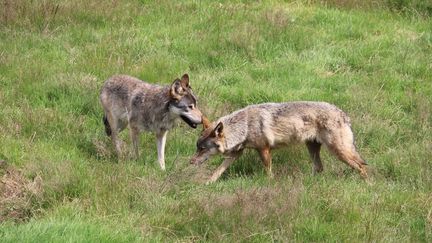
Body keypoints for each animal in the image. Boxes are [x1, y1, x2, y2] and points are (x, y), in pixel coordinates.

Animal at [192, 101, 368, 183]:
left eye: (202, 149)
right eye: (197, 147)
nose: (191, 161)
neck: (245, 126)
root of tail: (344, 115)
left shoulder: (264, 150)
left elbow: (268, 171)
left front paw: (270, 183)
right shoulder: (236, 154)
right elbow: (218, 170)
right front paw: (208, 183)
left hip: (338, 151)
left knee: (362, 166)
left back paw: (367, 185)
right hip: (313, 149)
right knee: (319, 168)